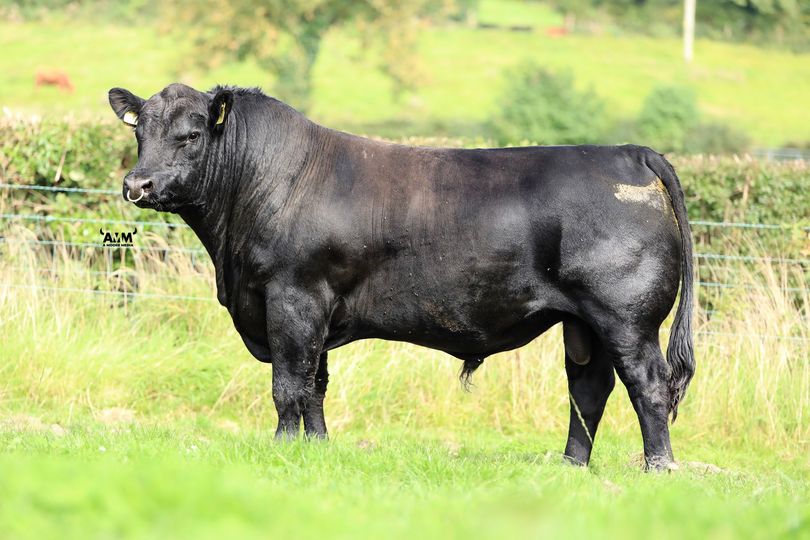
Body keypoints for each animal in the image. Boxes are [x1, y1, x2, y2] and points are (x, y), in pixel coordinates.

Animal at [108, 83, 695, 470]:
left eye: (190, 135)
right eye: (141, 133)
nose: (137, 185)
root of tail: (630, 152)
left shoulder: (293, 296)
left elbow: (288, 383)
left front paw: (282, 449)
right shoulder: (315, 307)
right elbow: (315, 384)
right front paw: (317, 449)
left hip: (626, 317)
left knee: (648, 384)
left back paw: (659, 467)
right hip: (582, 323)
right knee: (588, 388)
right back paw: (570, 465)